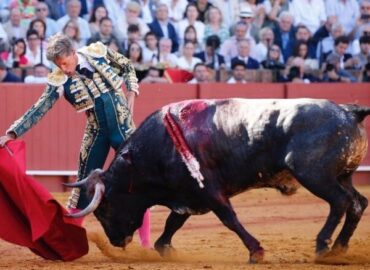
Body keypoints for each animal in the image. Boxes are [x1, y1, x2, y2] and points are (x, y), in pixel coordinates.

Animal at [66, 98, 370, 262]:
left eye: (103, 209)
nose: (117, 241)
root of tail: (348, 112)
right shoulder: (187, 195)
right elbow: (173, 222)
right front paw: (166, 249)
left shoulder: (209, 190)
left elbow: (229, 219)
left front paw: (256, 252)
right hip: (342, 176)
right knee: (357, 202)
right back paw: (339, 249)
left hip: (315, 176)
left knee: (340, 203)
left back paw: (323, 246)